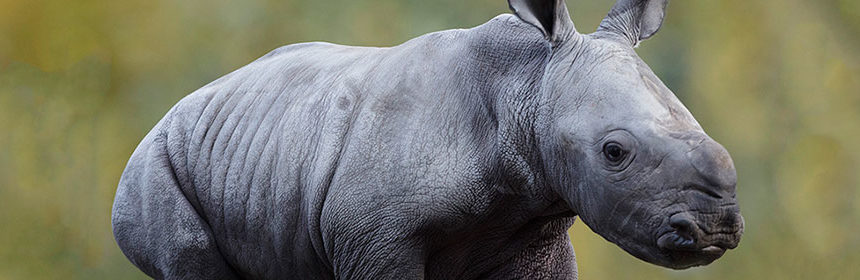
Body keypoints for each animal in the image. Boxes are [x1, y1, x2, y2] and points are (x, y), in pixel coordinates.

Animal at [111, 0, 744, 278]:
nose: (714, 228)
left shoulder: (533, 227)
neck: (527, 85)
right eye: (615, 152)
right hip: (150, 167)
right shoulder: (372, 235)